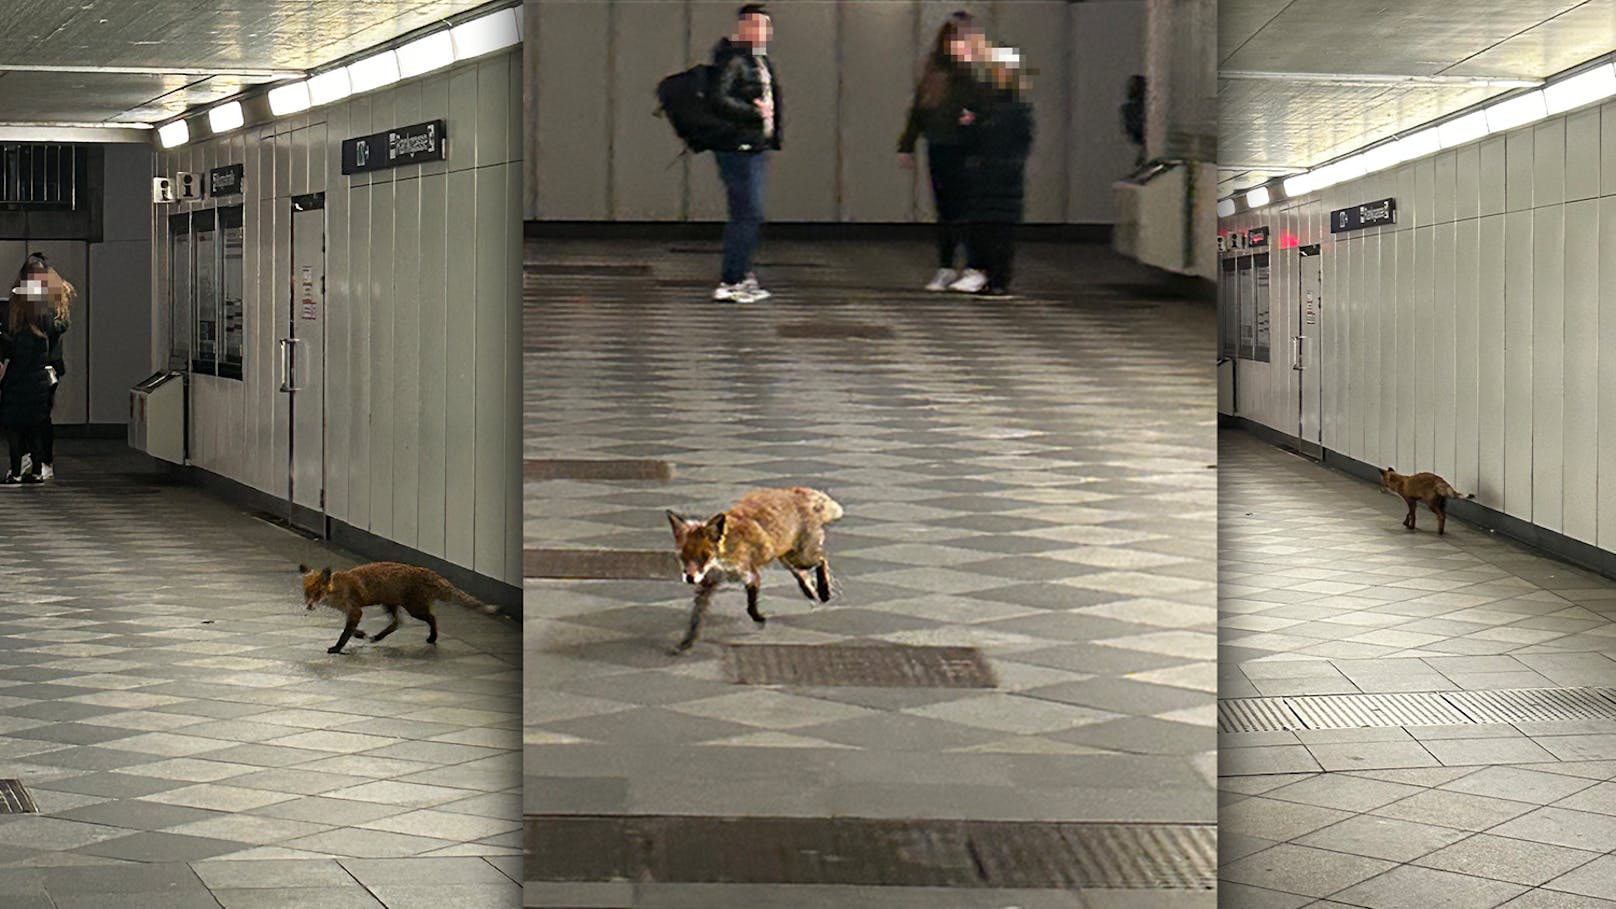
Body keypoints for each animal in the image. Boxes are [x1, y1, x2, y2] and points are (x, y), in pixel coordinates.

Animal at [297, 559, 497, 650]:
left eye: (317, 594)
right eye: (307, 594)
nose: (308, 606)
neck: (338, 590)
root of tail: (426, 571)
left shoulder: (355, 610)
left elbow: (345, 633)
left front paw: (337, 648)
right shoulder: (351, 612)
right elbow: (350, 630)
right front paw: (361, 634)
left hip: (414, 609)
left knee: (432, 618)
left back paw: (432, 637)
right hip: (390, 604)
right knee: (397, 623)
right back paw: (378, 637)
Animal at [665, 488, 846, 650]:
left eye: (704, 556)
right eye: (683, 557)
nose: (690, 578)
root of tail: (793, 492)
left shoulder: (751, 575)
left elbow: (750, 606)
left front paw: (759, 618)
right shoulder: (707, 584)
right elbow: (695, 618)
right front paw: (686, 643)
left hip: (802, 558)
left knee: (821, 560)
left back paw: (823, 591)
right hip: (785, 557)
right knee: (800, 573)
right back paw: (809, 591)